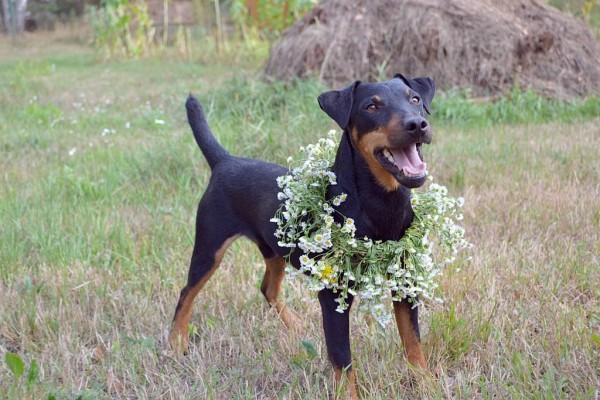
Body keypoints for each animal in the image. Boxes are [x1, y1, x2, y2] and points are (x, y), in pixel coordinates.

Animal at [169, 74, 436, 396]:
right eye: (371, 106)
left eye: (415, 99)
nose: (417, 124)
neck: (381, 205)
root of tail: (224, 161)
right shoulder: (333, 297)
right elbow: (342, 360)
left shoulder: (405, 284)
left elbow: (414, 344)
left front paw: (429, 386)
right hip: (210, 247)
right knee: (187, 292)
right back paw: (176, 342)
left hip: (274, 250)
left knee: (267, 288)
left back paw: (295, 325)